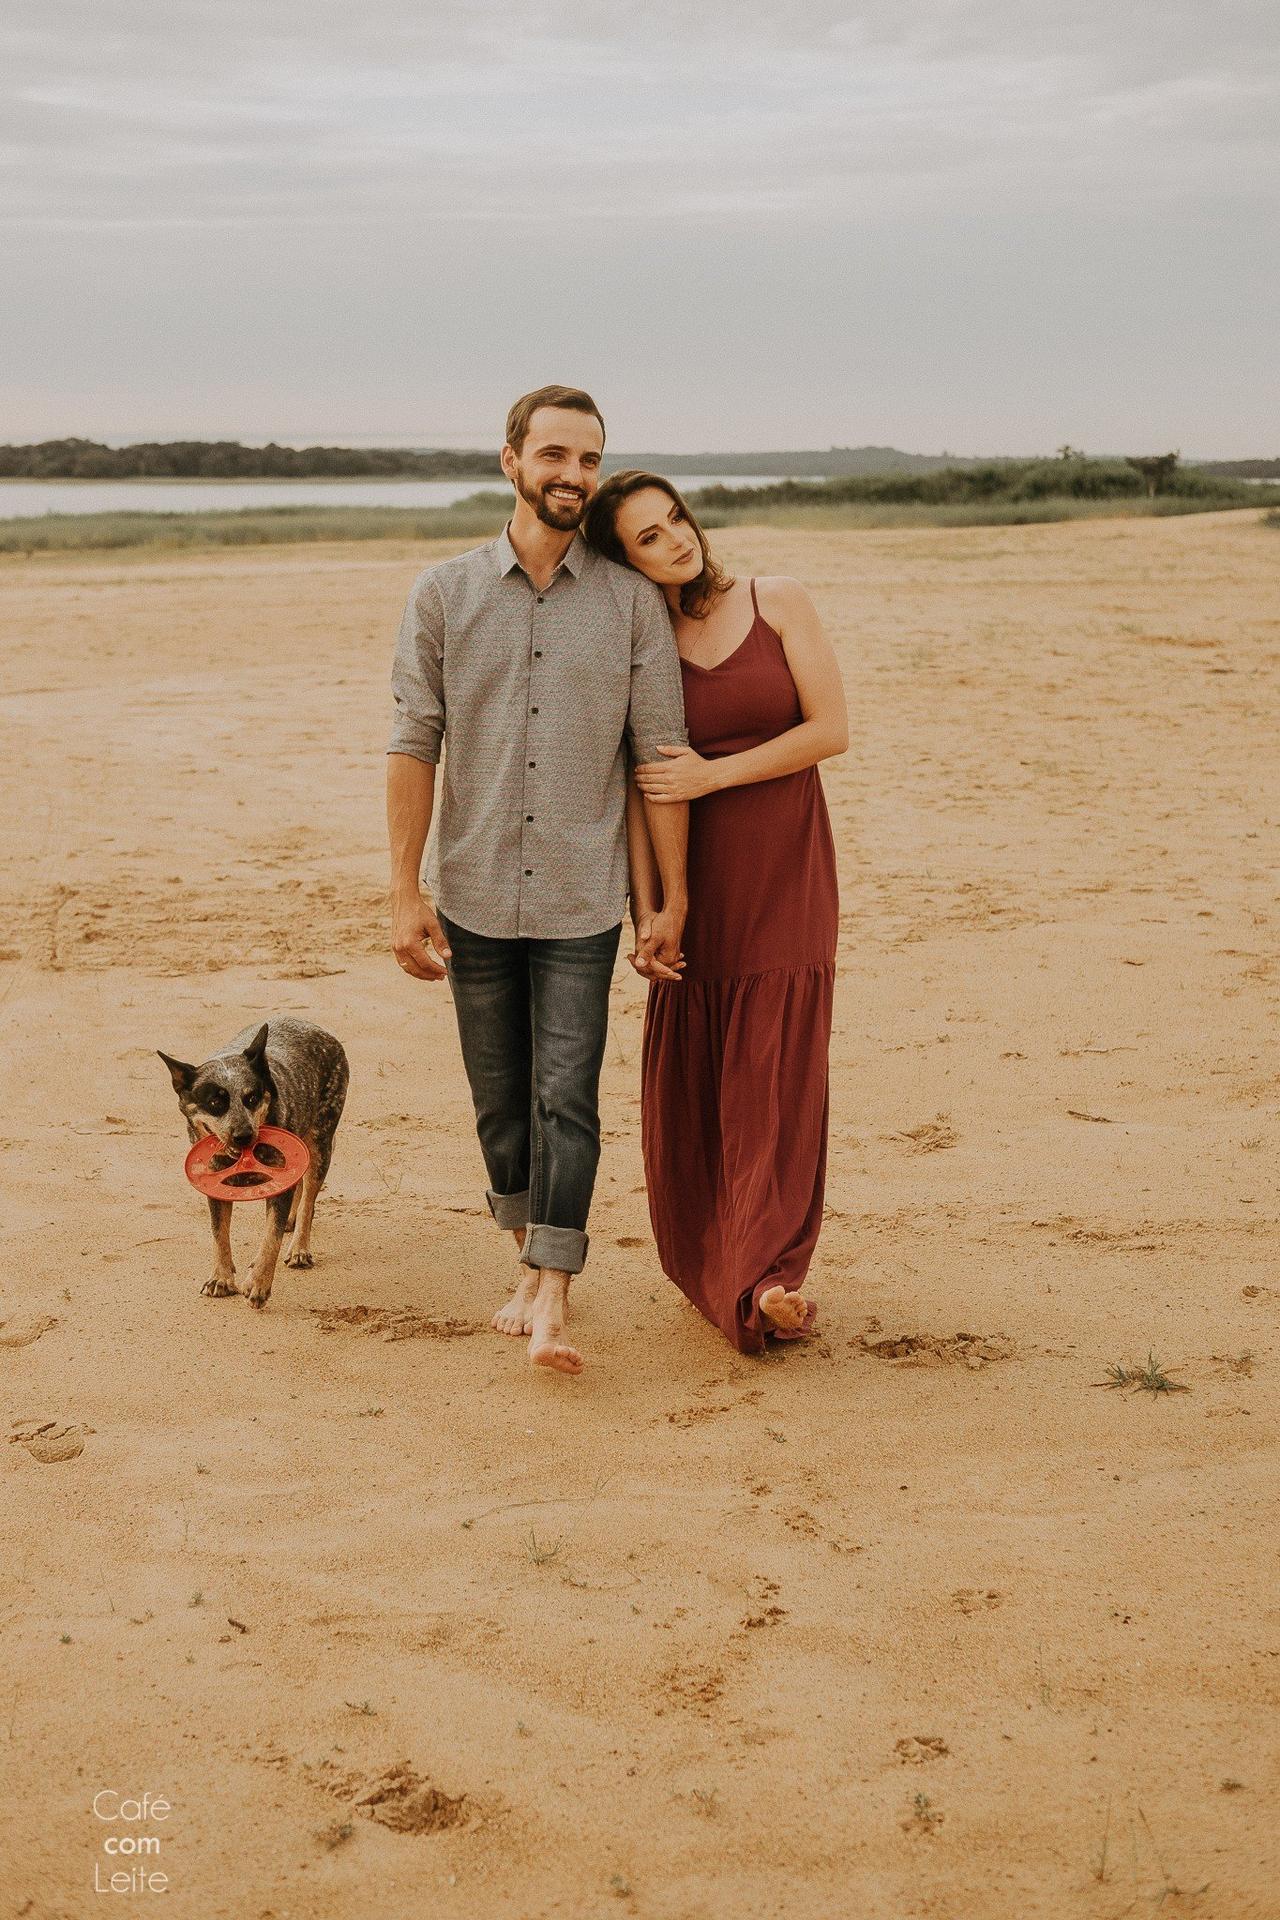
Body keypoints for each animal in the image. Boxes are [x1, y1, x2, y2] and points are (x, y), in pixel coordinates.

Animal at [160, 1013, 351, 1313]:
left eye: (251, 1098)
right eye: (215, 1103)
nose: (243, 1135)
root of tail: (318, 1029)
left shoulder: (280, 1182)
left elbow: (271, 1237)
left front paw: (259, 1284)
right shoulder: (215, 1184)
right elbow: (219, 1233)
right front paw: (220, 1278)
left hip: (321, 1137)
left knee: (309, 1196)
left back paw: (299, 1247)